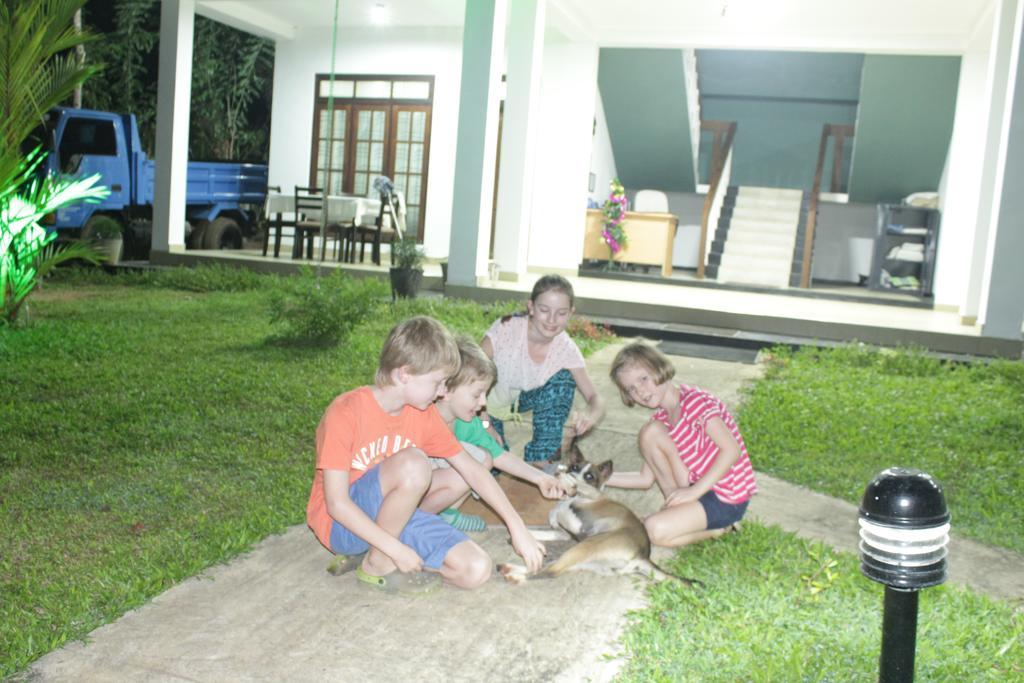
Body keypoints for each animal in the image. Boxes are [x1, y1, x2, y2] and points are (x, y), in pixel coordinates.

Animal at [497, 440, 704, 589]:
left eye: (590, 476)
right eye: (574, 467)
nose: (571, 473)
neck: (577, 499)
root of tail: (643, 557)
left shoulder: (576, 529)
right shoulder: (564, 533)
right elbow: (542, 529)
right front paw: (523, 538)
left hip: (586, 545)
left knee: (550, 572)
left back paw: (515, 574)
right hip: (583, 556)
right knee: (550, 568)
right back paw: (513, 570)